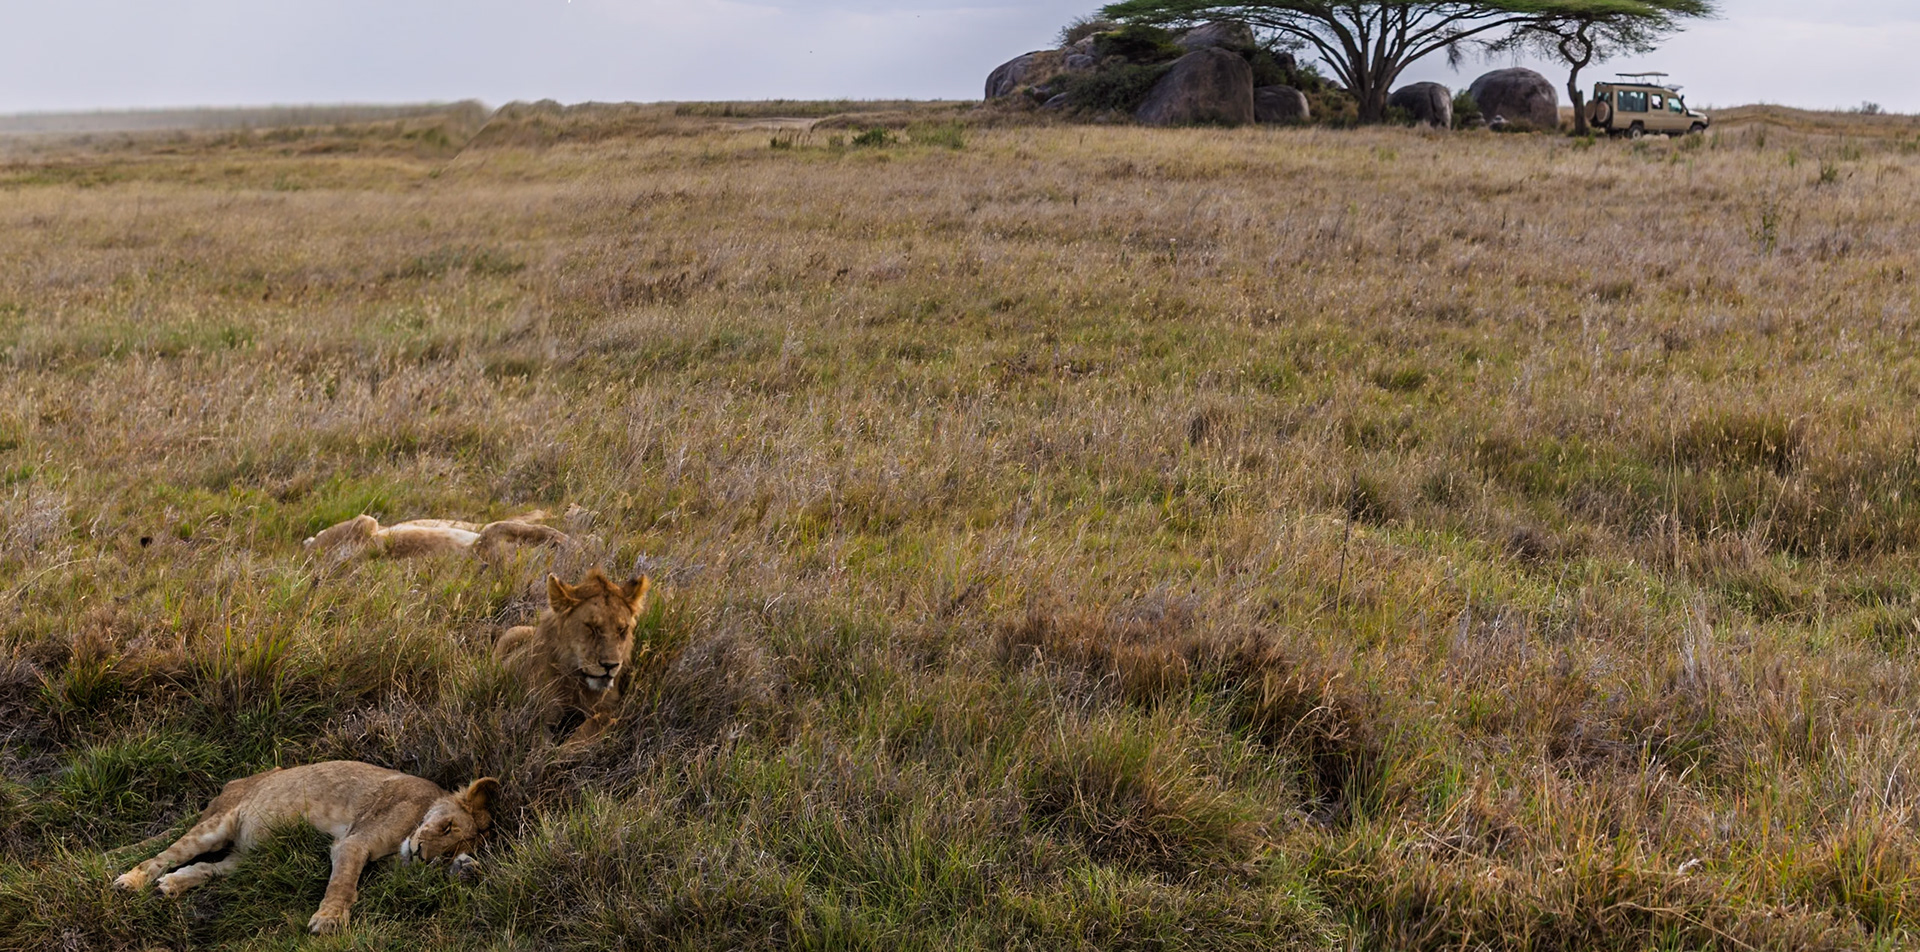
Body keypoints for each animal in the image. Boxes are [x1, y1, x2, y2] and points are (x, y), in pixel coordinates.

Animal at [113, 761, 498, 936]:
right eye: (446, 826)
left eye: (445, 854)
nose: (421, 854)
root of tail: (231, 784)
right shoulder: (354, 842)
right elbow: (343, 884)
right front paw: (328, 920)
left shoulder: (390, 868)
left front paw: (467, 868)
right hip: (216, 825)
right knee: (162, 857)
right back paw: (131, 882)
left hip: (246, 859)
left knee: (206, 868)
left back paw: (170, 887)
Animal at [494, 569, 652, 743]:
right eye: (591, 627)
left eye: (622, 629)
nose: (610, 666)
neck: (577, 681)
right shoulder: (540, 710)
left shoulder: (608, 706)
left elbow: (594, 725)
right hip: (512, 634)